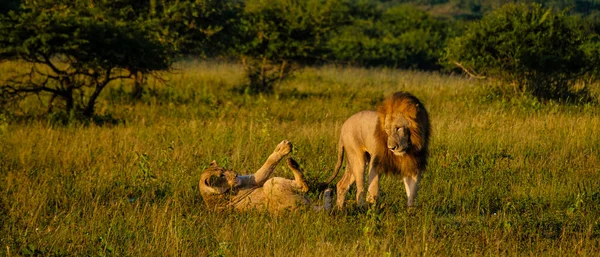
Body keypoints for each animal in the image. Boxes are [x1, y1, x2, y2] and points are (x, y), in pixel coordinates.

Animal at [202, 140, 332, 212]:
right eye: (222, 175)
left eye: (224, 170)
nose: (236, 174)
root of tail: (305, 210)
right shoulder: (254, 179)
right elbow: (269, 161)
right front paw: (283, 148)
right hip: (271, 183)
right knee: (304, 186)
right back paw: (291, 162)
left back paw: (329, 192)